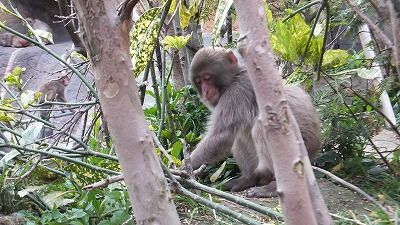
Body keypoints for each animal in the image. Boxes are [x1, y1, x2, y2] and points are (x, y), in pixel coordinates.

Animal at [188, 46, 322, 198]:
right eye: (199, 81)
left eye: (207, 78)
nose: (205, 91)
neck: (235, 76)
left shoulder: (237, 91)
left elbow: (221, 135)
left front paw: (183, 167)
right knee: (240, 137)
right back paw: (248, 179)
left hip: (302, 148)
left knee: (261, 127)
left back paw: (276, 187)